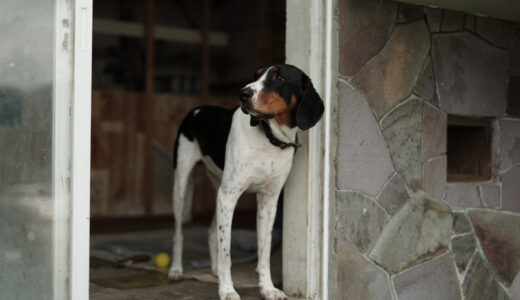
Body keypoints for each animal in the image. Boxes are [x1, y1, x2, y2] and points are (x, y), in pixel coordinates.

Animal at [168, 64, 320, 300]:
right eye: (256, 75)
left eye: (279, 77)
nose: (243, 93)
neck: (270, 139)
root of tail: (197, 109)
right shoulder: (229, 196)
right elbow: (226, 252)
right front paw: (227, 290)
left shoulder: (268, 201)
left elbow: (264, 251)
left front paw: (268, 289)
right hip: (183, 186)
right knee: (178, 233)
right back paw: (176, 270)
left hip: (218, 190)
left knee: (212, 231)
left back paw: (214, 270)